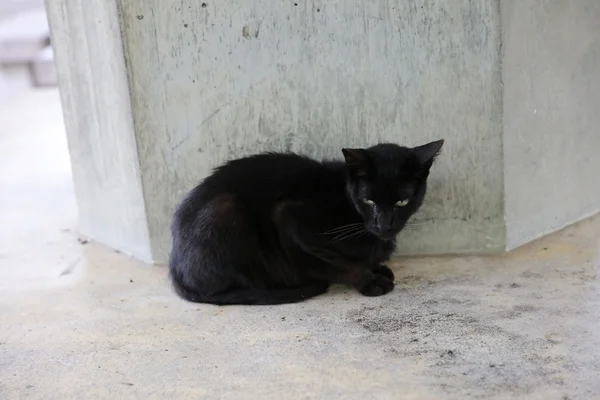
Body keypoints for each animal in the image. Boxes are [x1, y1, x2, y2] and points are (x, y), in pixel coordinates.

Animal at [166, 139, 442, 304]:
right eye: (369, 201)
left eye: (402, 202)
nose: (384, 225)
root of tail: (174, 265)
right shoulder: (288, 219)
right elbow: (338, 262)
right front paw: (370, 280)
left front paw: (377, 268)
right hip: (226, 207)